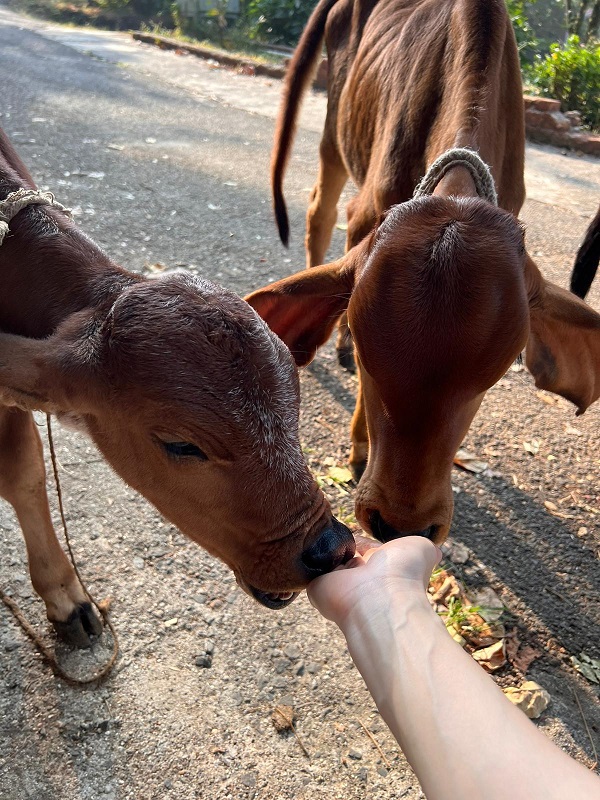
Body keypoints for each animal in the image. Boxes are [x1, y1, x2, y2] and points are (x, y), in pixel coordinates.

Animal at [246, 0, 600, 545]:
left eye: (496, 374)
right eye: (370, 358)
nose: (400, 524)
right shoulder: (369, 213)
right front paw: (360, 443)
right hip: (334, 129)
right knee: (320, 208)